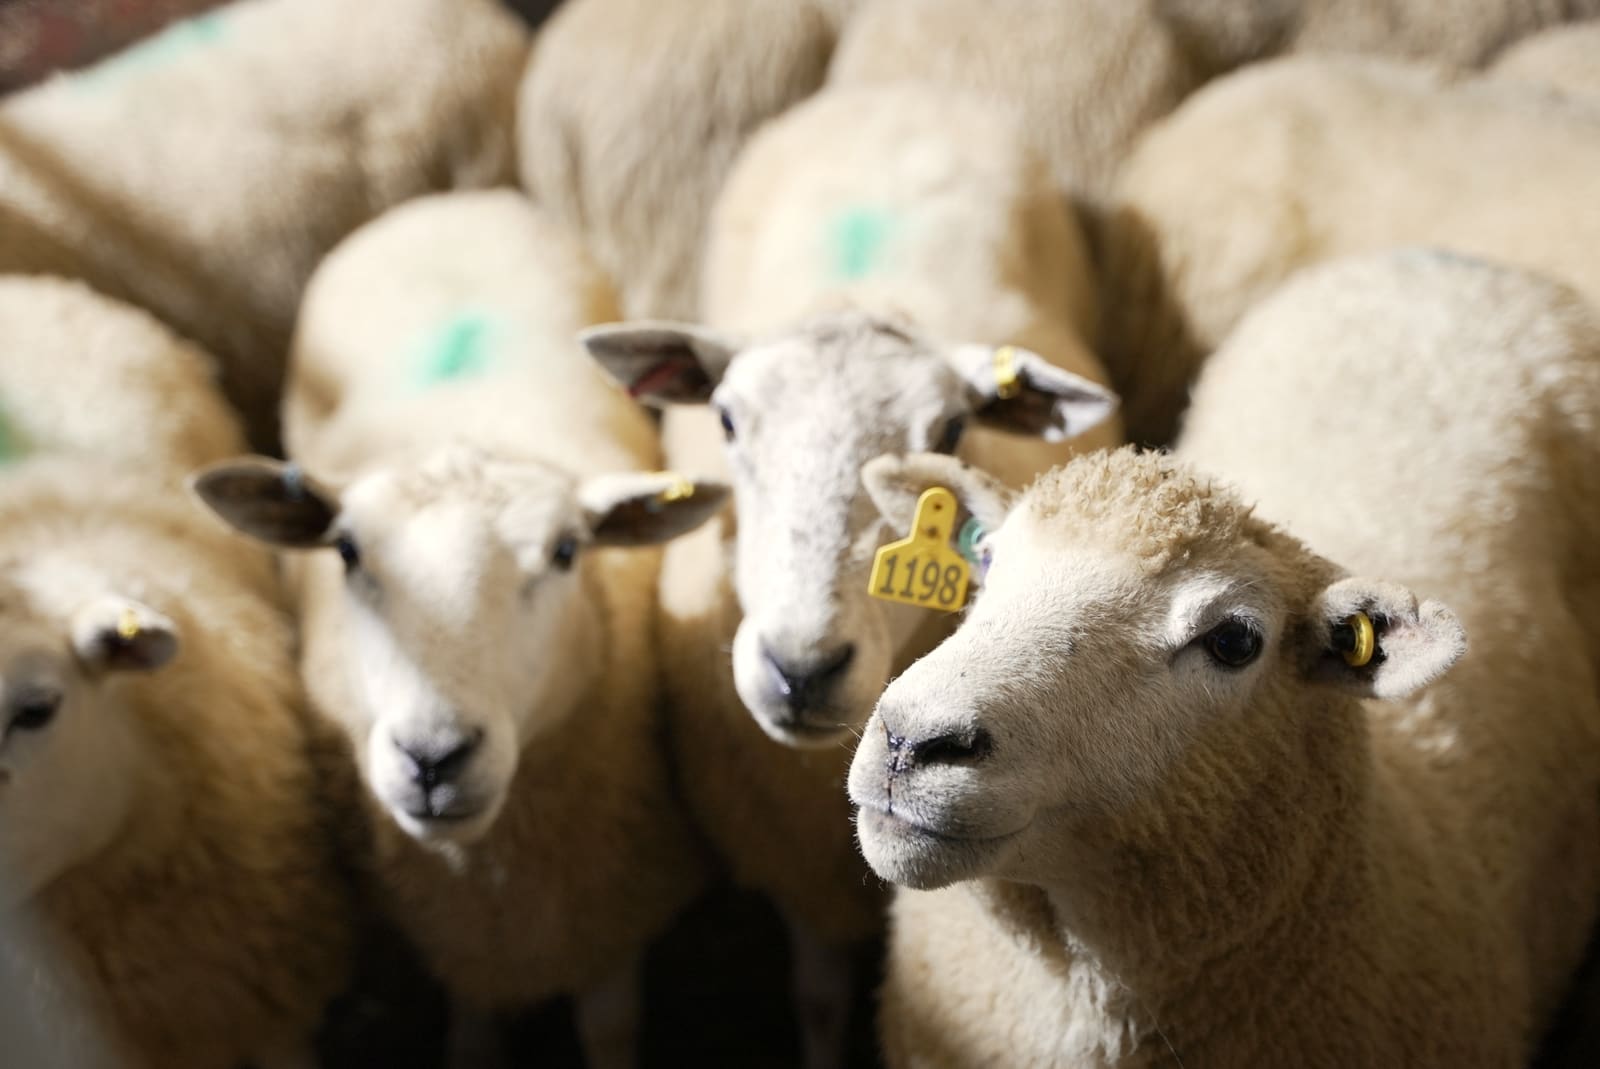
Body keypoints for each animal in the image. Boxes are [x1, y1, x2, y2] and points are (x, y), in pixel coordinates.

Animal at [194, 189, 726, 1067]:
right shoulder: (461, 943)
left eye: (567, 550)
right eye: (346, 551)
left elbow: (609, 1029)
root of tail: (450, 199)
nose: (434, 756)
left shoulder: (610, 913)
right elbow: (473, 1036)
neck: (490, 870)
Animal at [581, 80, 1119, 1068]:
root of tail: (896, 92)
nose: (801, 668)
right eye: (723, 418)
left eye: (951, 430)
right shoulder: (793, 859)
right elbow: (823, 998)